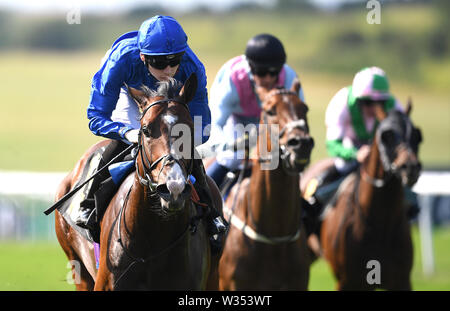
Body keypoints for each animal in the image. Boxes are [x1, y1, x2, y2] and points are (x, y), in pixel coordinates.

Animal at [302, 103, 422, 292]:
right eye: (386, 136)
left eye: (417, 136)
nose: (410, 167)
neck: (381, 227)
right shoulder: (347, 282)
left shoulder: (401, 281)